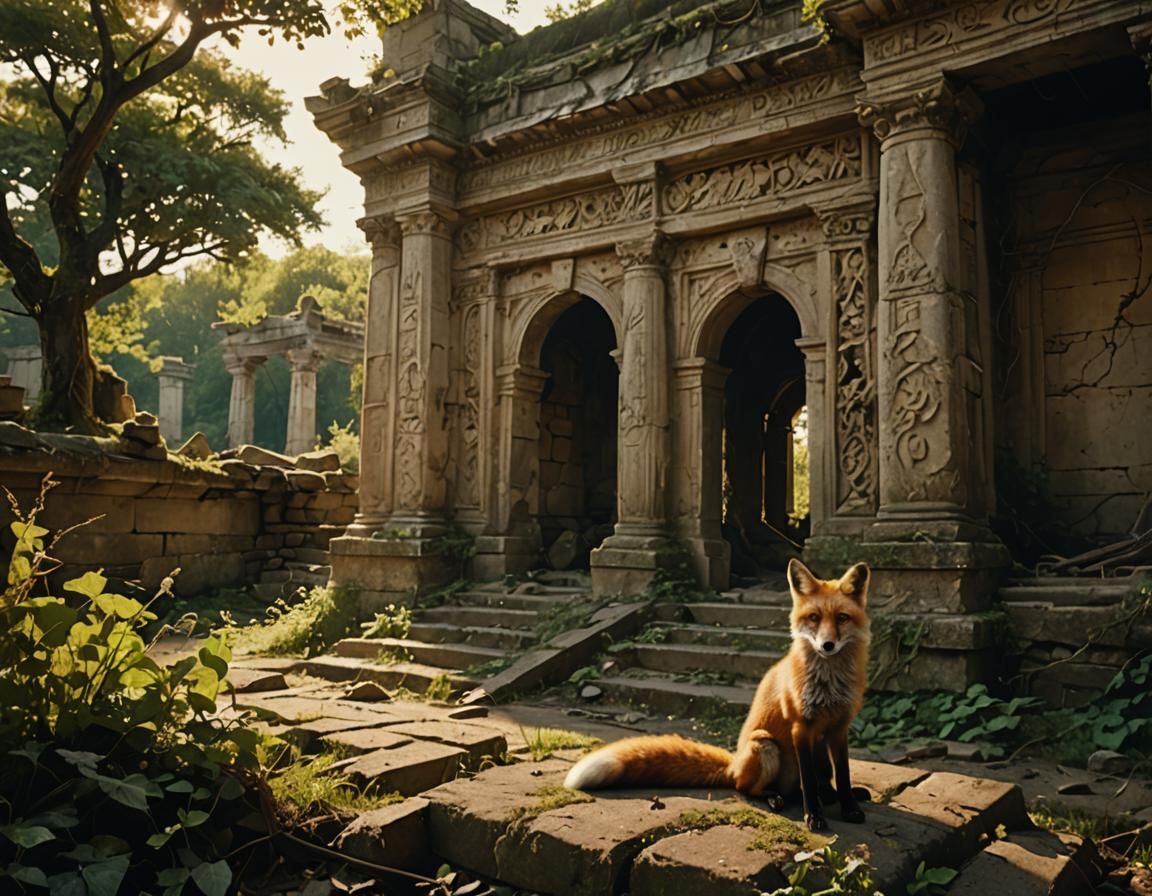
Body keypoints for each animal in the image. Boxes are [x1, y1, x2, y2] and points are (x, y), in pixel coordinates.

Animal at [564, 558, 871, 832]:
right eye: (814, 618)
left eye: (842, 618)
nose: (827, 645)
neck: (830, 684)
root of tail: (733, 764)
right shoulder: (801, 727)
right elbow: (808, 782)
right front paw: (814, 818)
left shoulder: (839, 727)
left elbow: (843, 775)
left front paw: (849, 807)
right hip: (765, 745)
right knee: (748, 788)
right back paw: (774, 797)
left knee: (821, 781)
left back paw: (832, 795)